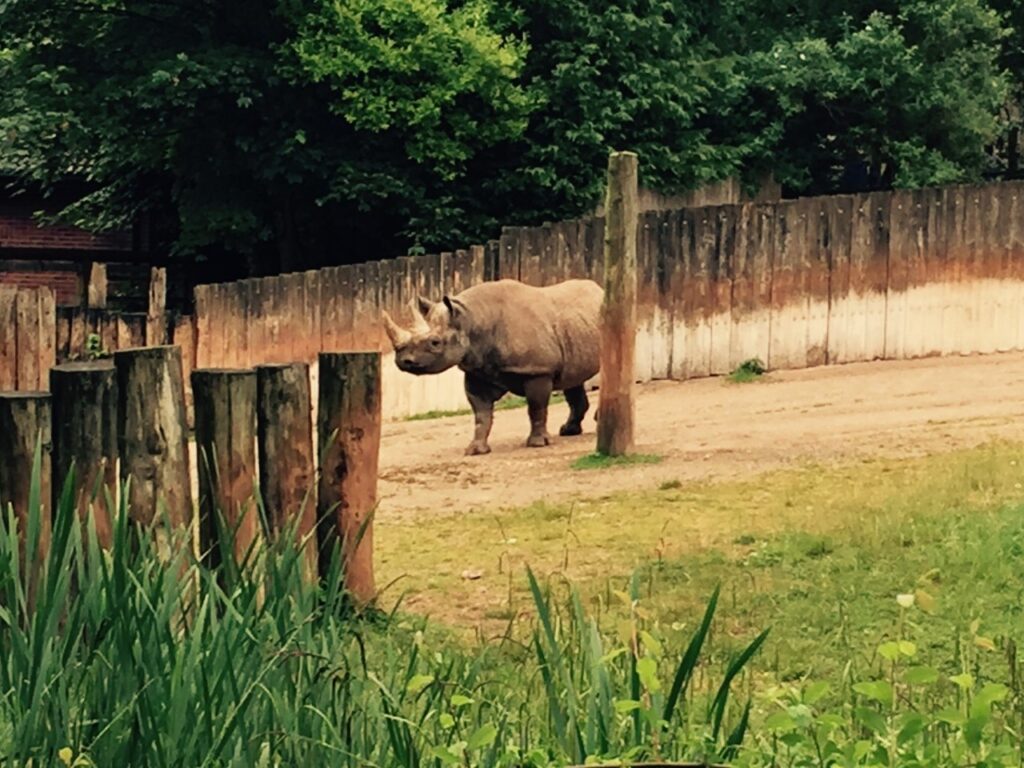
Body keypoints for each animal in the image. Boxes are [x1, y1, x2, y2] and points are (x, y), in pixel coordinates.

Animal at [387, 278, 602, 454]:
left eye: (435, 343)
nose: (404, 361)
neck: (470, 318)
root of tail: (599, 289)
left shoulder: (537, 370)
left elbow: (536, 407)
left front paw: (537, 443)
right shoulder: (477, 370)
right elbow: (481, 414)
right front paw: (475, 450)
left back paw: (596, 421)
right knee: (573, 378)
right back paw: (569, 431)